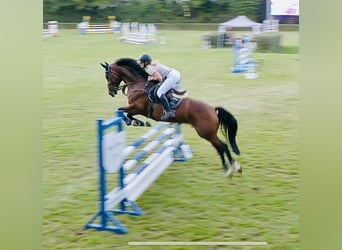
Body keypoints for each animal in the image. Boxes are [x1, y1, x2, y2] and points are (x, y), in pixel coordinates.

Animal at [101, 57, 240, 177]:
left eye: (107, 76)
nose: (111, 92)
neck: (138, 85)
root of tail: (213, 109)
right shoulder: (136, 109)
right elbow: (126, 113)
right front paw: (139, 122)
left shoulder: (137, 108)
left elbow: (121, 111)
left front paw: (135, 122)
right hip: (208, 133)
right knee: (222, 146)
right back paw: (234, 167)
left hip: (206, 133)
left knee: (222, 146)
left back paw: (230, 169)